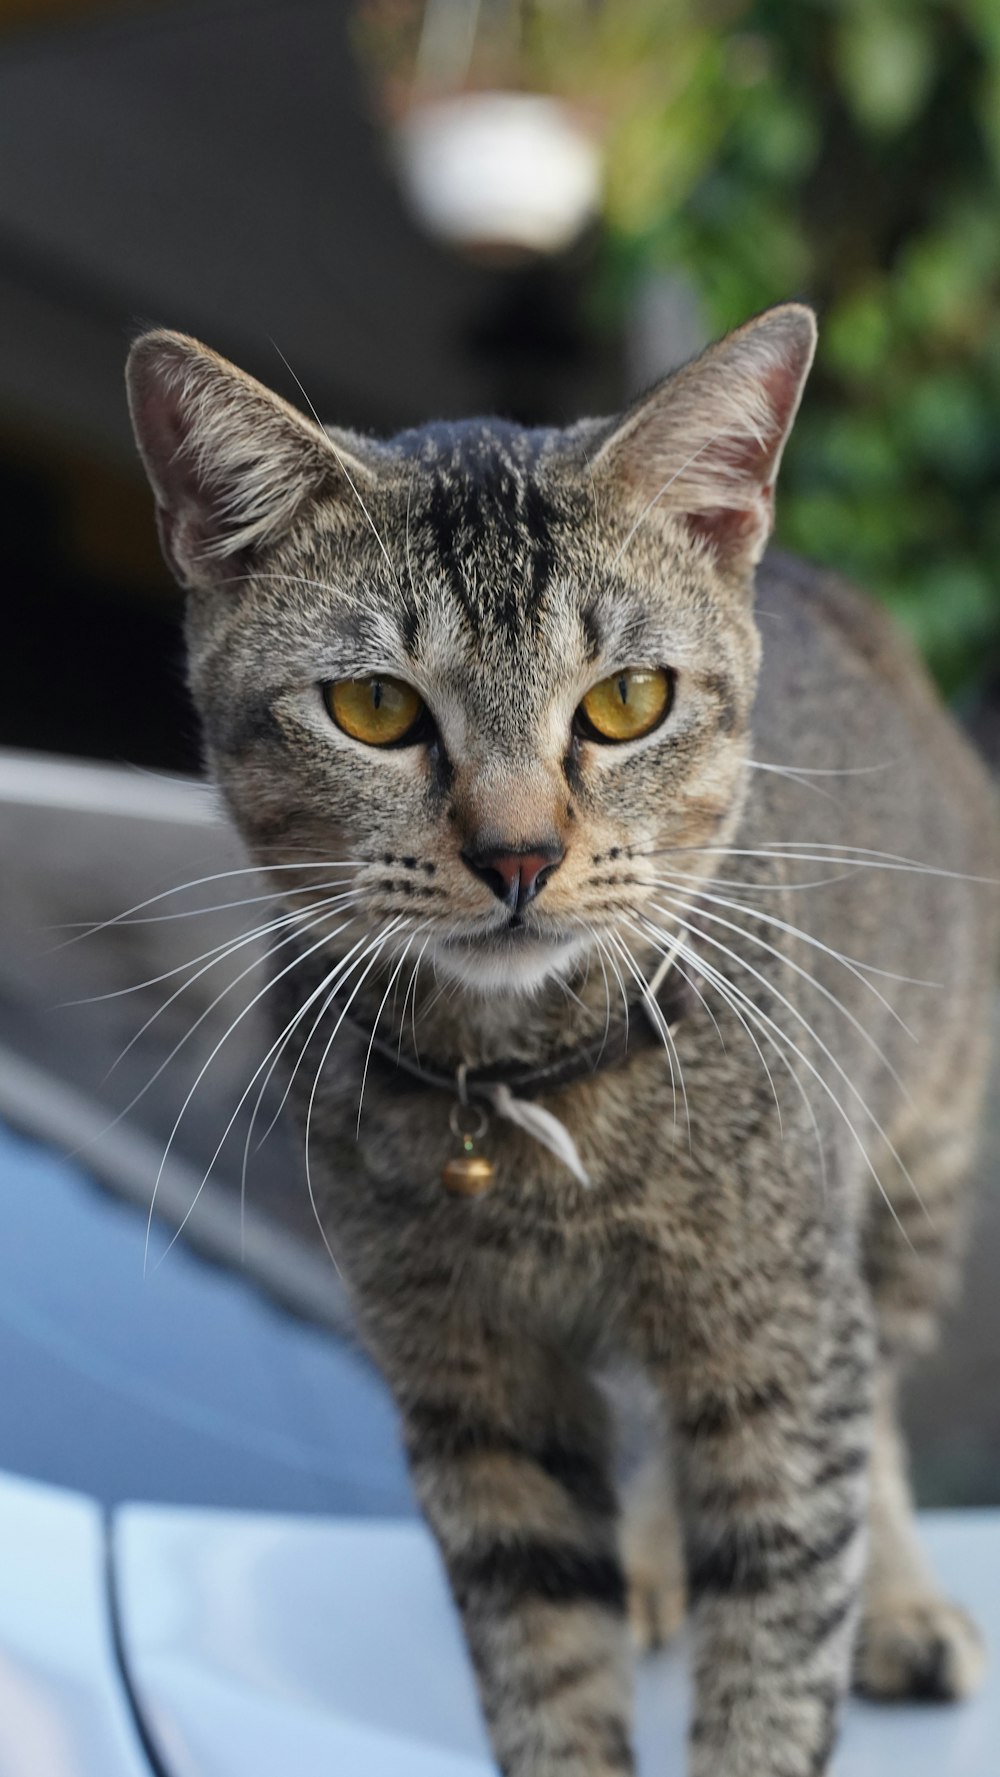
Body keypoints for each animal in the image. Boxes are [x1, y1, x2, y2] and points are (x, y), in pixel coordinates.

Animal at [128, 305, 994, 1777]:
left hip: (908, 1183)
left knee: (870, 1393)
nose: (520, 854)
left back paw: (896, 1601)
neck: (523, 1101)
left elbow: (780, 1621)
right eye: (373, 709)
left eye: (628, 698)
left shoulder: (778, 1330)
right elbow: (544, 1652)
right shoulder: (470, 1385)